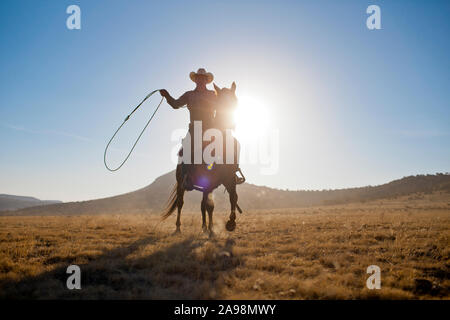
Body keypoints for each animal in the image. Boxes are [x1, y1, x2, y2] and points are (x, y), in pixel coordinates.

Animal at [162, 82, 243, 238]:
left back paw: (205, 227)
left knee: (202, 205)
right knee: (181, 203)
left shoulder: (228, 179)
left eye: (235, 101)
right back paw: (178, 228)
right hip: (181, 184)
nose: (231, 125)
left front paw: (230, 223)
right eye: (220, 103)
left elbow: (233, 197)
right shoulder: (208, 181)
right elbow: (210, 206)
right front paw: (213, 229)